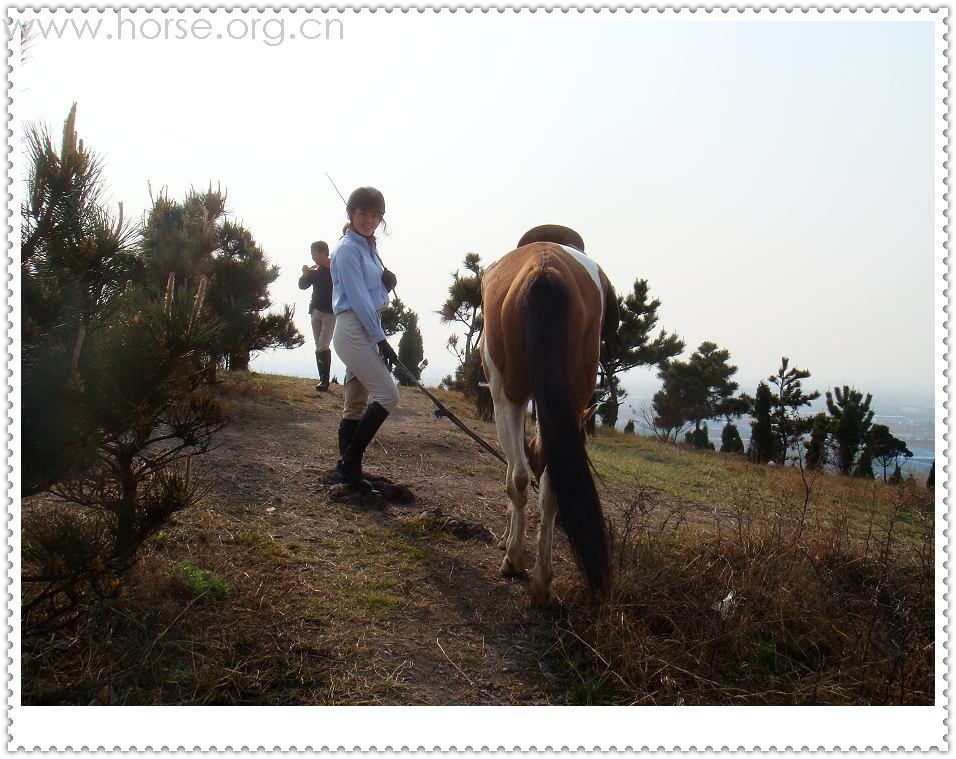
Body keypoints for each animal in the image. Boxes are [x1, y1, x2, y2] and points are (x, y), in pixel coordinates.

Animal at [478, 226, 620, 604]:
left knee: (518, 477)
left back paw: (516, 563)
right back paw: (543, 584)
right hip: (572, 396)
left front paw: (510, 547)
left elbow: (515, 475)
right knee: (554, 484)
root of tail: (545, 268)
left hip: (508, 397)